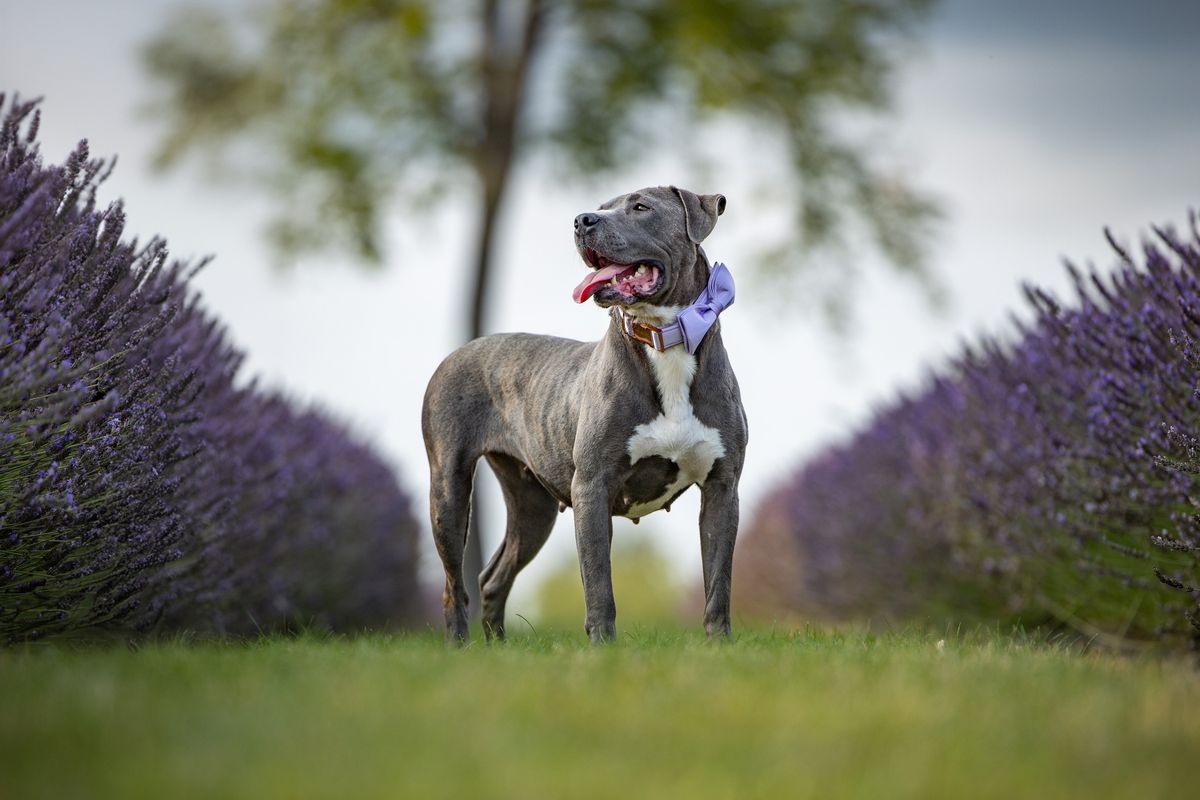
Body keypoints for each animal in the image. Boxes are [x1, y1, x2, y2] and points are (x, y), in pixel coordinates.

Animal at [420, 185, 739, 642]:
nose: (582, 220)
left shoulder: (722, 487)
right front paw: (602, 648)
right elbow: (598, 580)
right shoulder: (592, 485)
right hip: (448, 489)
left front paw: (718, 645)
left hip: (531, 507)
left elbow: (718, 580)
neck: (666, 337)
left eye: (640, 207)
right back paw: (460, 647)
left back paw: (495, 649)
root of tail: (458, 352)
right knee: (452, 585)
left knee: (493, 577)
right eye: (603, 206)